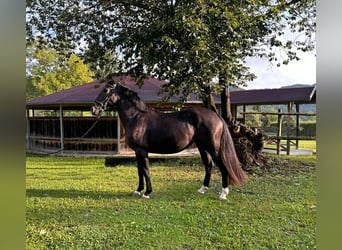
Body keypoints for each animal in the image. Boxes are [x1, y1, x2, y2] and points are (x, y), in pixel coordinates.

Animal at [91, 79, 246, 200]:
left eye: (106, 90)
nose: (94, 109)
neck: (136, 117)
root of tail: (217, 116)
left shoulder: (142, 151)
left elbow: (146, 170)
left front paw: (147, 193)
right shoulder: (137, 152)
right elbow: (140, 171)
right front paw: (138, 190)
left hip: (213, 148)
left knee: (222, 166)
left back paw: (223, 193)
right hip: (202, 147)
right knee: (208, 165)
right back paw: (202, 189)